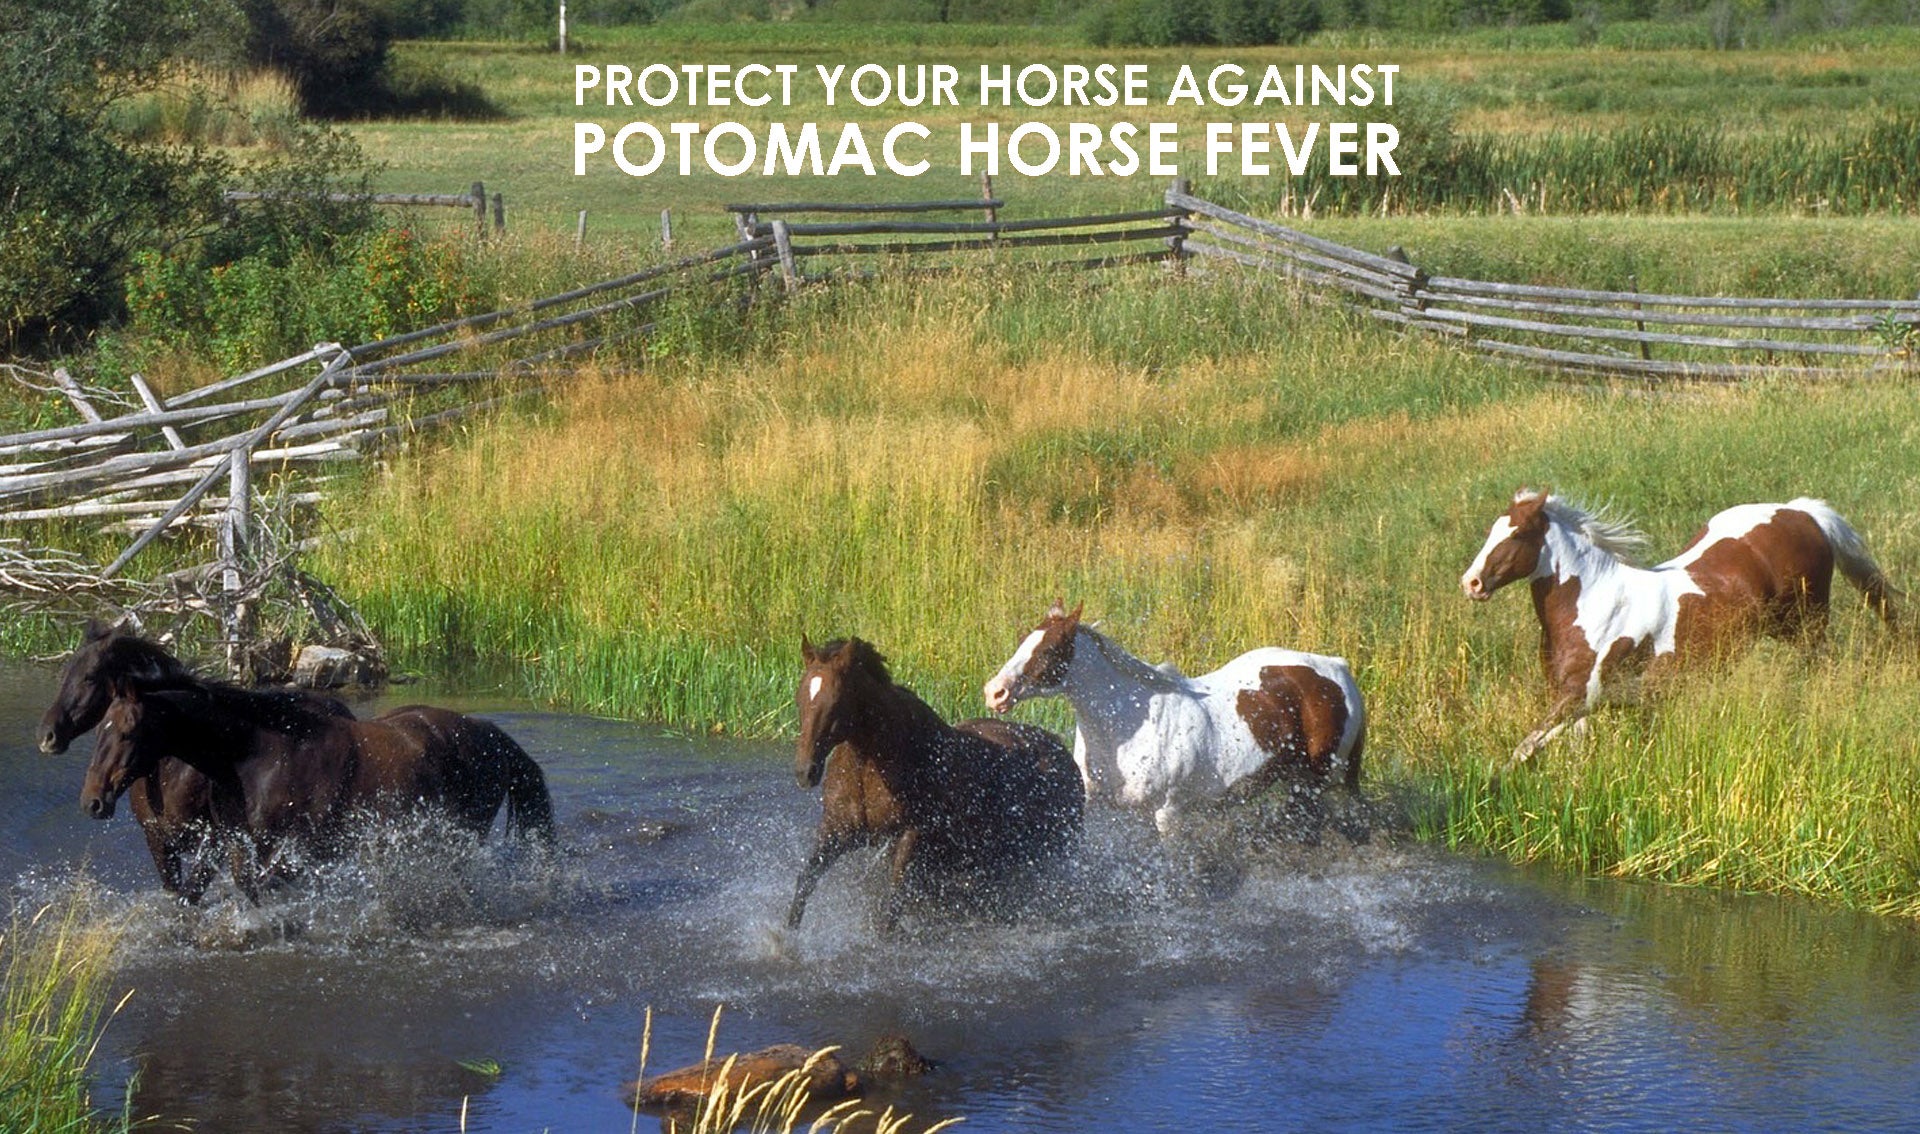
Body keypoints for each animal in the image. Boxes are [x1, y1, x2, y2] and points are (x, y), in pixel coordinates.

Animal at [38, 621, 356, 903]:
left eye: (90, 676)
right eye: (65, 673)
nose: (47, 736)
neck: (171, 770)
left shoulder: (214, 842)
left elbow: (190, 896)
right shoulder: (158, 842)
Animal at [80, 681, 556, 902]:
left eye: (126, 731)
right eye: (98, 729)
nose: (92, 801)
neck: (261, 754)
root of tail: (490, 735)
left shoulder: (301, 849)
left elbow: (267, 887)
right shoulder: (239, 843)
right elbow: (238, 886)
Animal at [787, 636, 1083, 931]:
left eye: (836, 701)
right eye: (800, 697)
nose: (805, 771)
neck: (871, 766)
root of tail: (1064, 756)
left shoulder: (911, 837)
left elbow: (892, 906)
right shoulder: (837, 831)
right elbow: (804, 883)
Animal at [983, 601, 1367, 836]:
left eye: (1049, 650)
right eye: (1023, 640)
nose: (994, 692)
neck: (1127, 725)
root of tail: (1337, 668)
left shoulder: (1167, 814)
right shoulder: (1105, 808)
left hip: (1314, 783)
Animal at [1461, 489, 1898, 764]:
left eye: (1517, 534)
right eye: (1490, 531)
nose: (1472, 583)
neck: (1593, 605)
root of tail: (1802, 512)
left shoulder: (1576, 697)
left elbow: (1522, 749)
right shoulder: (1581, 705)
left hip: (1809, 624)